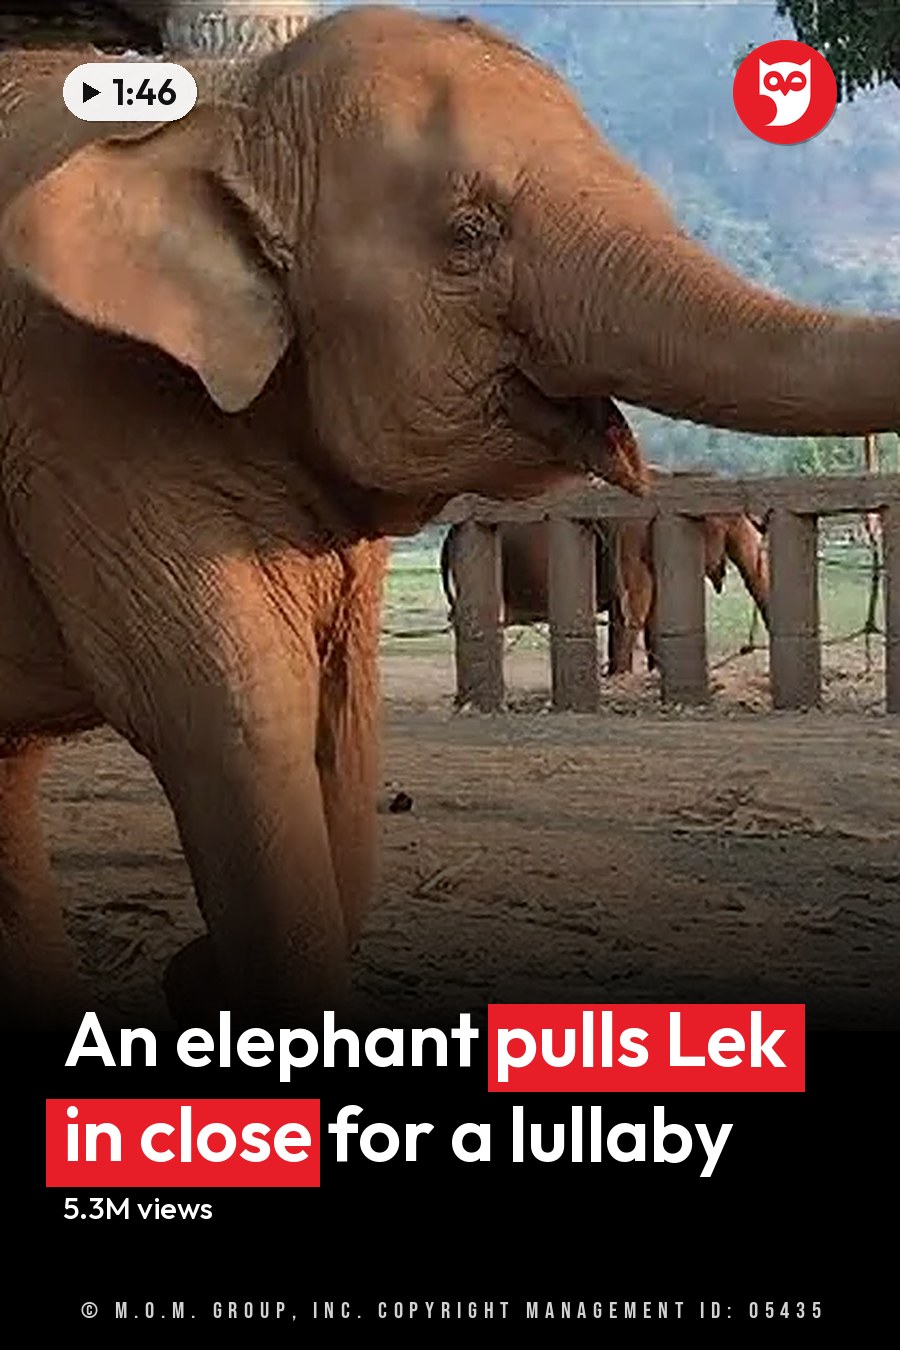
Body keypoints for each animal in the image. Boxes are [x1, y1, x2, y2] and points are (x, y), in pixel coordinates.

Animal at [1, 7, 899, 1022]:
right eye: (468, 235)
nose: (187, 969)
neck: (234, 104)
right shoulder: (94, 419)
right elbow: (236, 722)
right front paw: (206, 978)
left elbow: (346, 723)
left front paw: (195, 972)